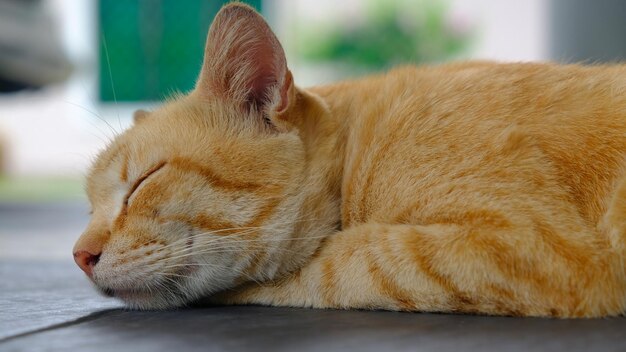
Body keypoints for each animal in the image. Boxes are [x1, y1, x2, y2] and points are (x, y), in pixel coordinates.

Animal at [70, 1, 624, 318]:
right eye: (89, 207)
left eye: (144, 181)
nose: (78, 257)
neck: (358, 148)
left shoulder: (540, 247)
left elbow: (342, 261)